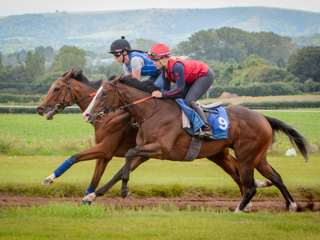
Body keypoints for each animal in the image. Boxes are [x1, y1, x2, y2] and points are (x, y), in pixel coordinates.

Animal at [37, 69, 272, 202]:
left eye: (56, 88)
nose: (39, 108)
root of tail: (261, 117)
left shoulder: (107, 148)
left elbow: (75, 157)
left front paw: (50, 178)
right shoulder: (107, 153)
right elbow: (99, 175)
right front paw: (89, 196)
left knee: (240, 173)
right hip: (218, 153)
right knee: (238, 173)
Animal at [84, 77, 308, 212]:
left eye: (103, 94)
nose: (87, 114)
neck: (151, 112)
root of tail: (263, 117)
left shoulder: (160, 149)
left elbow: (129, 155)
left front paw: (123, 191)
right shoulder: (145, 152)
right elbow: (121, 170)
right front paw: (93, 195)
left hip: (246, 156)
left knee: (250, 185)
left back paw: (239, 209)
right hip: (257, 157)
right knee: (275, 177)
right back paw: (292, 205)